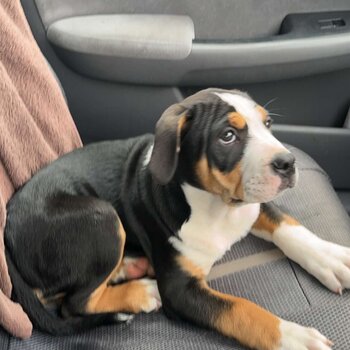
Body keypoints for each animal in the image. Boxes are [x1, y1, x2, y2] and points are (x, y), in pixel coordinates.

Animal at [4, 89, 348, 348]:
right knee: (73, 302)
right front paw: (290, 335)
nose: (287, 163)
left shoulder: (252, 206)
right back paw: (142, 291)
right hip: (101, 218)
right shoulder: (181, 290)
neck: (218, 208)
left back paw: (129, 267)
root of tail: (6, 226)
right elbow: (239, 309)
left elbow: (288, 225)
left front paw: (332, 259)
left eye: (268, 123)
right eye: (227, 136)